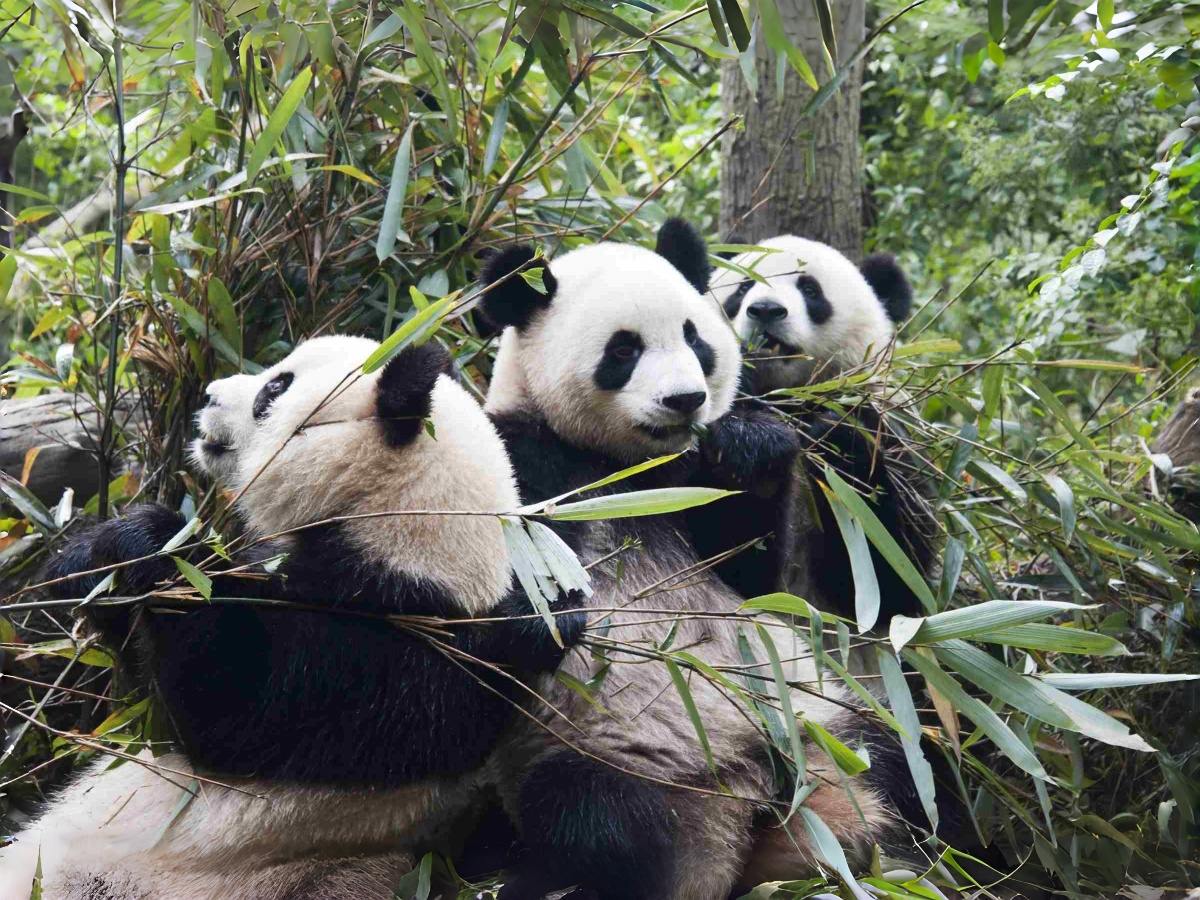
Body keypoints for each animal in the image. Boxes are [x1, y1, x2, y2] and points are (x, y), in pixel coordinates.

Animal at [0, 336, 584, 900]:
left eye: (274, 389)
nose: (208, 394)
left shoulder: (406, 651)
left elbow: (228, 701)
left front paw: (156, 545)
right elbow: (131, 680)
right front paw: (89, 562)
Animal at [473, 221, 945, 900]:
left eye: (696, 338)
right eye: (623, 350)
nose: (686, 399)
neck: (628, 468)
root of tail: (746, 802)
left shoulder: (697, 485)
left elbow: (757, 569)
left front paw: (753, 446)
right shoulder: (524, 459)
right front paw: (543, 611)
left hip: (831, 720)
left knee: (899, 770)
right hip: (614, 749)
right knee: (603, 826)